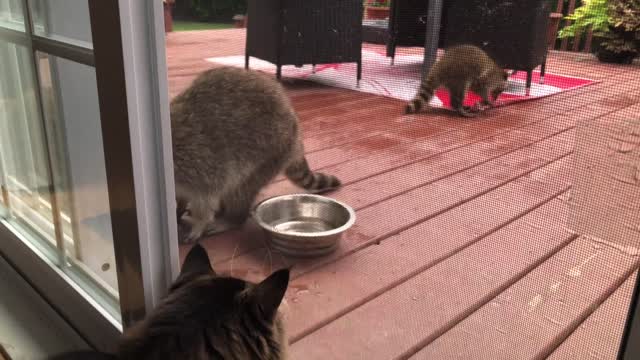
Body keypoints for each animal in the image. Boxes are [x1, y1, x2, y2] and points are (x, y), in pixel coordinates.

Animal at [170, 66, 340, 243]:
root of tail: (295, 128)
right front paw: (178, 208)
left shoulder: (197, 160)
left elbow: (206, 196)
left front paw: (199, 223)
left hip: (271, 152)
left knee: (239, 187)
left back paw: (233, 218)